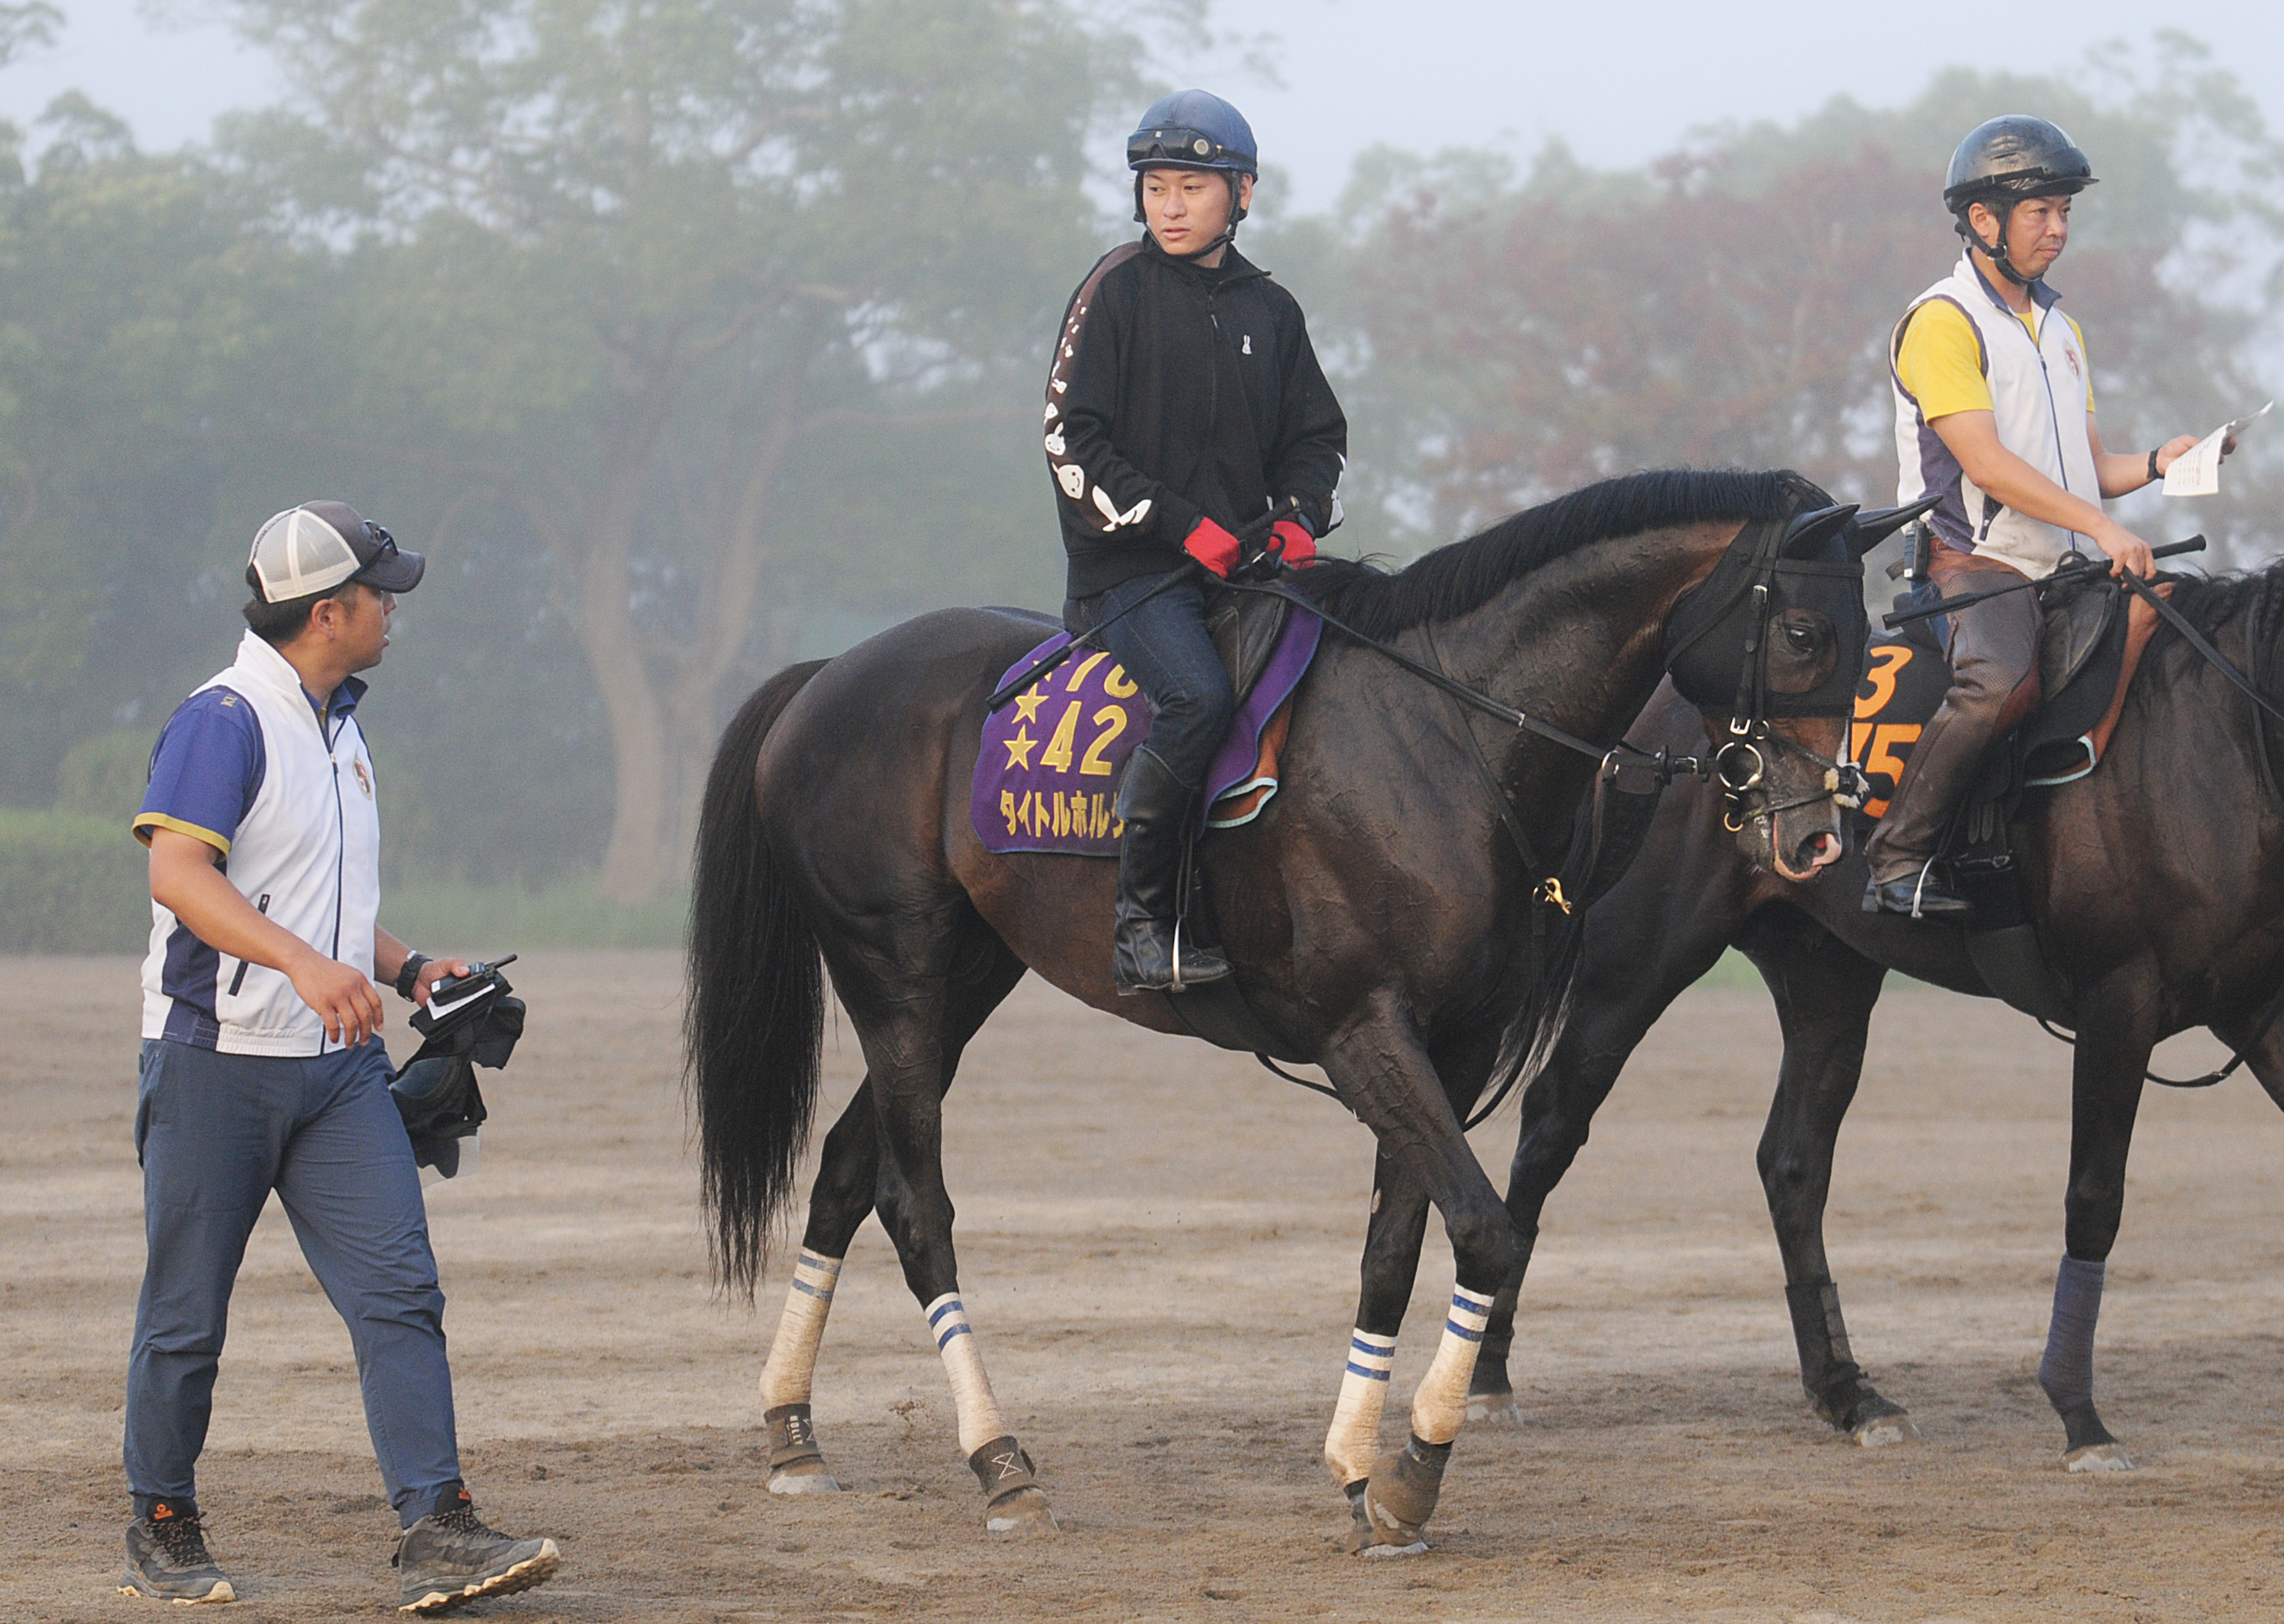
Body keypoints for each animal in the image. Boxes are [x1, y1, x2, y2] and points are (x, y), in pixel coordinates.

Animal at [1352, 560, 2284, 1471]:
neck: (2216, 733)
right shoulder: (2117, 998)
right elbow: (2095, 1196)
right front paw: (2082, 1417)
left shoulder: (2256, 1010)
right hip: (1638, 966)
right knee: (1550, 1129)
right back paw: (1489, 1374)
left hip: (1826, 974)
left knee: (1792, 1163)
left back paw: (1846, 1391)